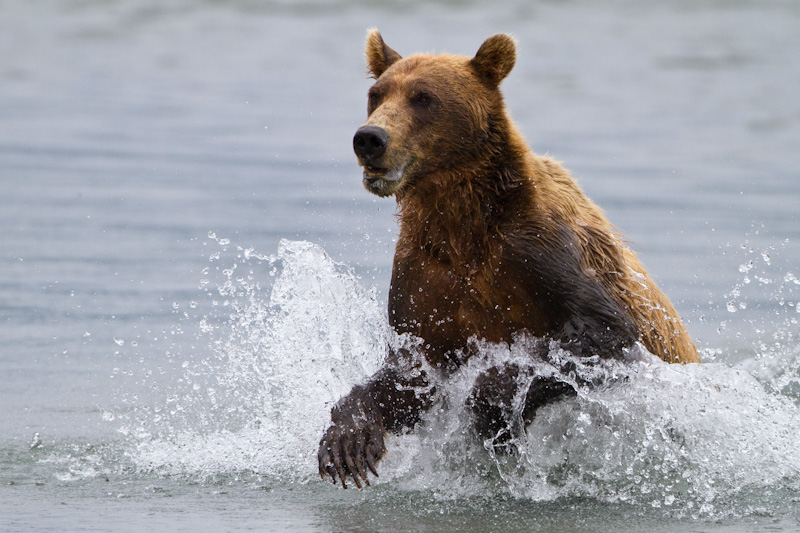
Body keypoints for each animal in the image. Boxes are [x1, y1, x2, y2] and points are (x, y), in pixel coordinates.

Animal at [318, 28, 700, 486]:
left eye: (423, 97)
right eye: (376, 94)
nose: (370, 138)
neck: (463, 226)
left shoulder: (541, 249)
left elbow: (603, 332)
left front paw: (488, 399)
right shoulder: (425, 274)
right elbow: (410, 377)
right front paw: (348, 441)